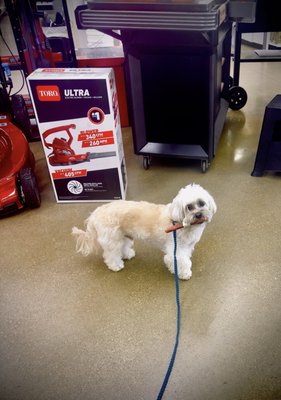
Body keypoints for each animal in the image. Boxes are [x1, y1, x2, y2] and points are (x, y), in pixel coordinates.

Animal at [71, 183, 215, 280]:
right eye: (189, 207)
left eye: (201, 203)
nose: (198, 215)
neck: (180, 222)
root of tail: (96, 213)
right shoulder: (176, 249)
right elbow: (183, 261)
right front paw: (184, 273)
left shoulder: (186, 247)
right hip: (112, 240)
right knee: (110, 255)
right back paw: (115, 265)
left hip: (123, 236)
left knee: (123, 247)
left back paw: (127, 254)